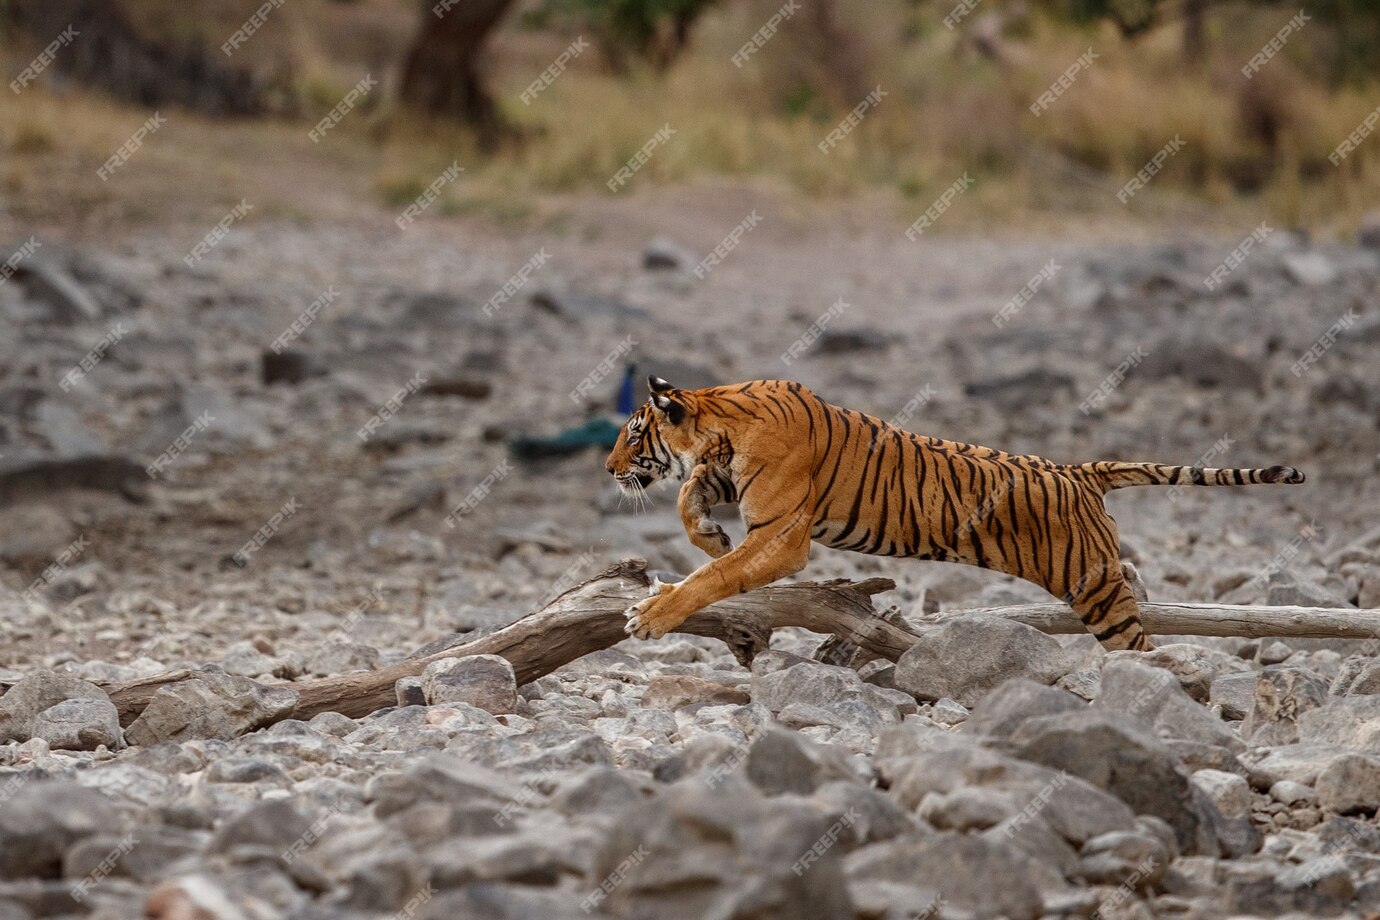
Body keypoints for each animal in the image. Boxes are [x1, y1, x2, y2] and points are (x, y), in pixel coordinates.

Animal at [604, 375, 1302, 653]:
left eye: (632, 435)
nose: (608, 468)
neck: (719, 420)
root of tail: (1079, 471)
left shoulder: (783, 534)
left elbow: (714, 579)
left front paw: (651, 614)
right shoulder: (724, 479)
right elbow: (688, 501)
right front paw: (709, 537)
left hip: (1092, 587)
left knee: (1139, 642)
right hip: (1102, 574)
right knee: (1135, 584)